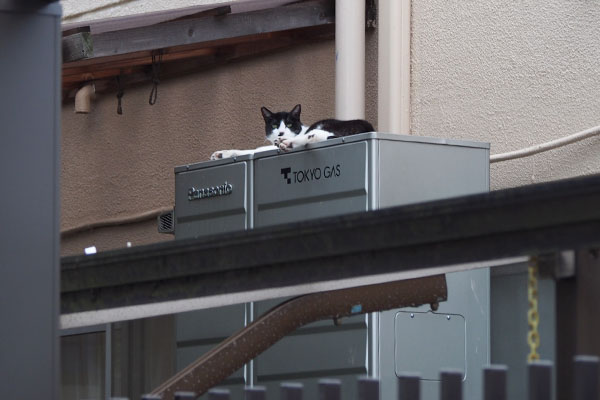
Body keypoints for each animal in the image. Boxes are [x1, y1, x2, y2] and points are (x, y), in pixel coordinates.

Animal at [209, 104, 372, 161]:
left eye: (289, 124)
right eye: (275, 125)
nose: (281, 133)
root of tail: (369, 127)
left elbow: (256, 149)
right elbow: (255, 150)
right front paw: (221, 154)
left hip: (324, 126)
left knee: (323, 135)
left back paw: (288, 143)